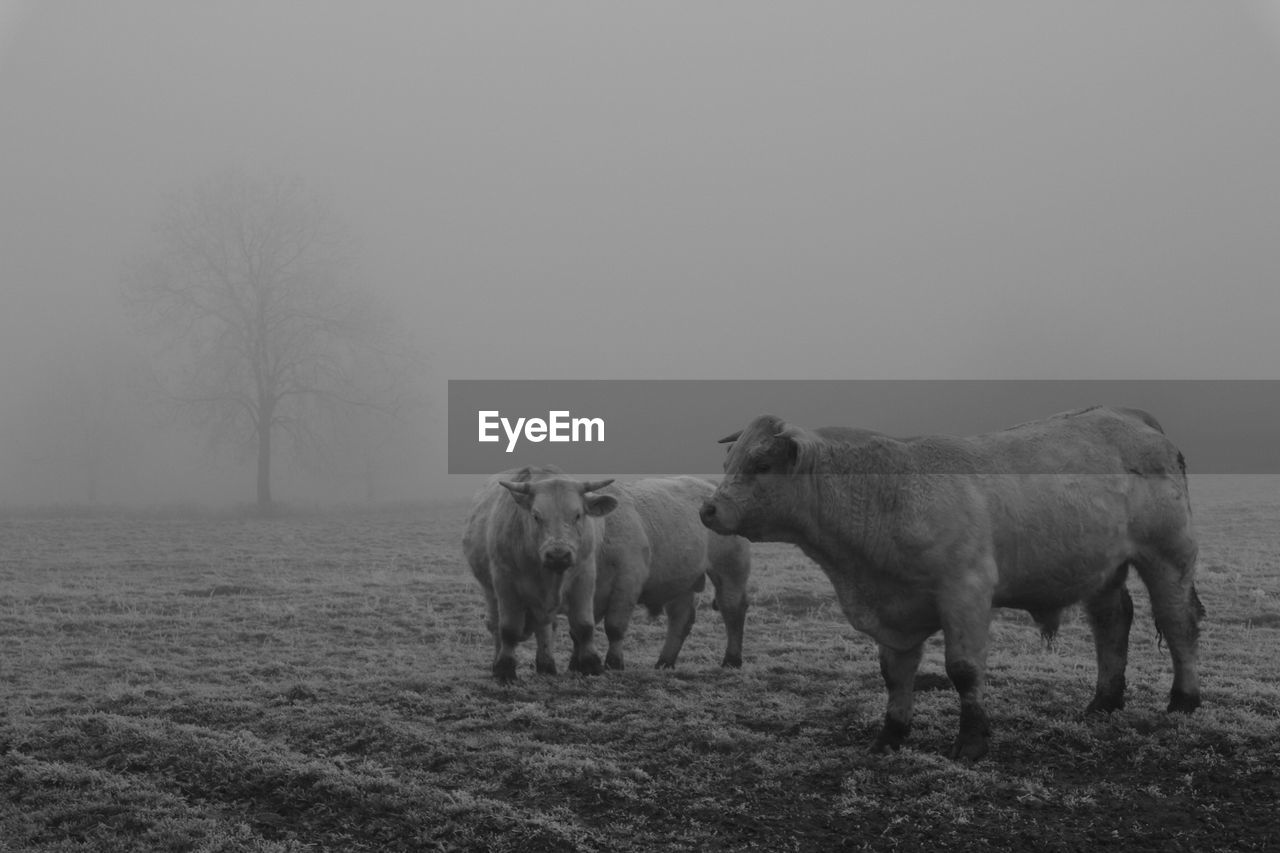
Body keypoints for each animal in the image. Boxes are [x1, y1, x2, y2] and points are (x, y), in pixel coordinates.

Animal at [468, 461, 747, 681]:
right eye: (536, 516)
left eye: (578, 514)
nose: (558, 554)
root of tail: (709, 489)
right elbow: (571, 630)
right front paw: (574, 664)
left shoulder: (626, 584)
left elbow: (612, 627)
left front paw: (611, 663)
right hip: (680, 583)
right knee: (681, 618)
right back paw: (664, 662)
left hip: (731, 570)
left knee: (732, 609)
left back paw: (731, 660)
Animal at [701, 404, 1198, 758]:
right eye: (729, 460)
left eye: (762, 463)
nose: (708, 509)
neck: (887, 497)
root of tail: (1126, 415)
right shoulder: (893, 611)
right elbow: (895, 675)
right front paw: (891, 735)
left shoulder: (966, 593)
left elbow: (963, 669)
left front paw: (972, 740)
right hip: (1102, 569)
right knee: (1112, 623)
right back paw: (1104, 703)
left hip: (1168, 556)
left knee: (1179, 623)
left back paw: (1184, 701)